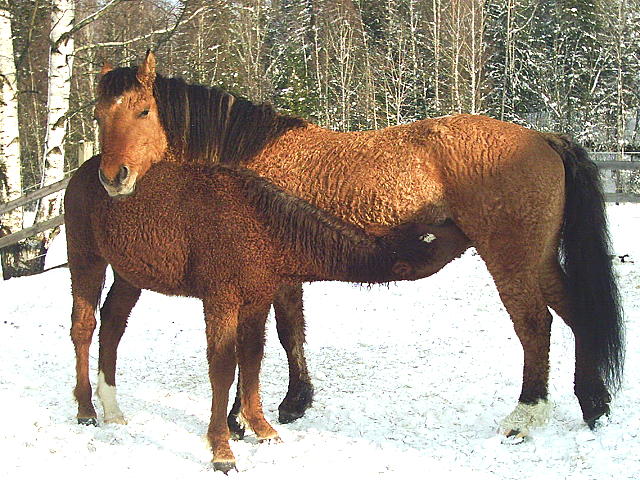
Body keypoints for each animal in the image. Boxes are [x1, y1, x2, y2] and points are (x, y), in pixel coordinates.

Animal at [82, 50, 624, 440]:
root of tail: (542, 136)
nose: (112, 178)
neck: (250, 162)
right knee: (576, 313)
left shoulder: (270, 278)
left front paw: (254, 414)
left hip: (510, 259)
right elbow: (289, 335)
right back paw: (593, 405)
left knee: (535, 326)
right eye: (97, 115)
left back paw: (526, 415)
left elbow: (275, 337)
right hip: (539, 259)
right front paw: (291, 403)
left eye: (144, 110)